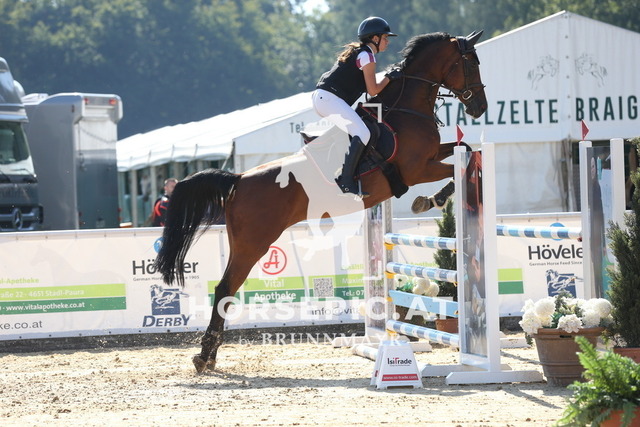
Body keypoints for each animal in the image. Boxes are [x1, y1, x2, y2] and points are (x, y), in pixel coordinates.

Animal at [155, 30, 487, 373]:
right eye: (472, 62)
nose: (479, 107)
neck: (406, 111)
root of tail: (238, 179)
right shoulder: (418, 169)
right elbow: (457, 163)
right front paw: (432, 199)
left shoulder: (432, 157)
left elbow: (464, 146)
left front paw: (431, 197)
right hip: (254, 243)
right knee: (225, 288)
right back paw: (205, 356)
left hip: (242, 241)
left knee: (225, 288)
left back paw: (207, 356)